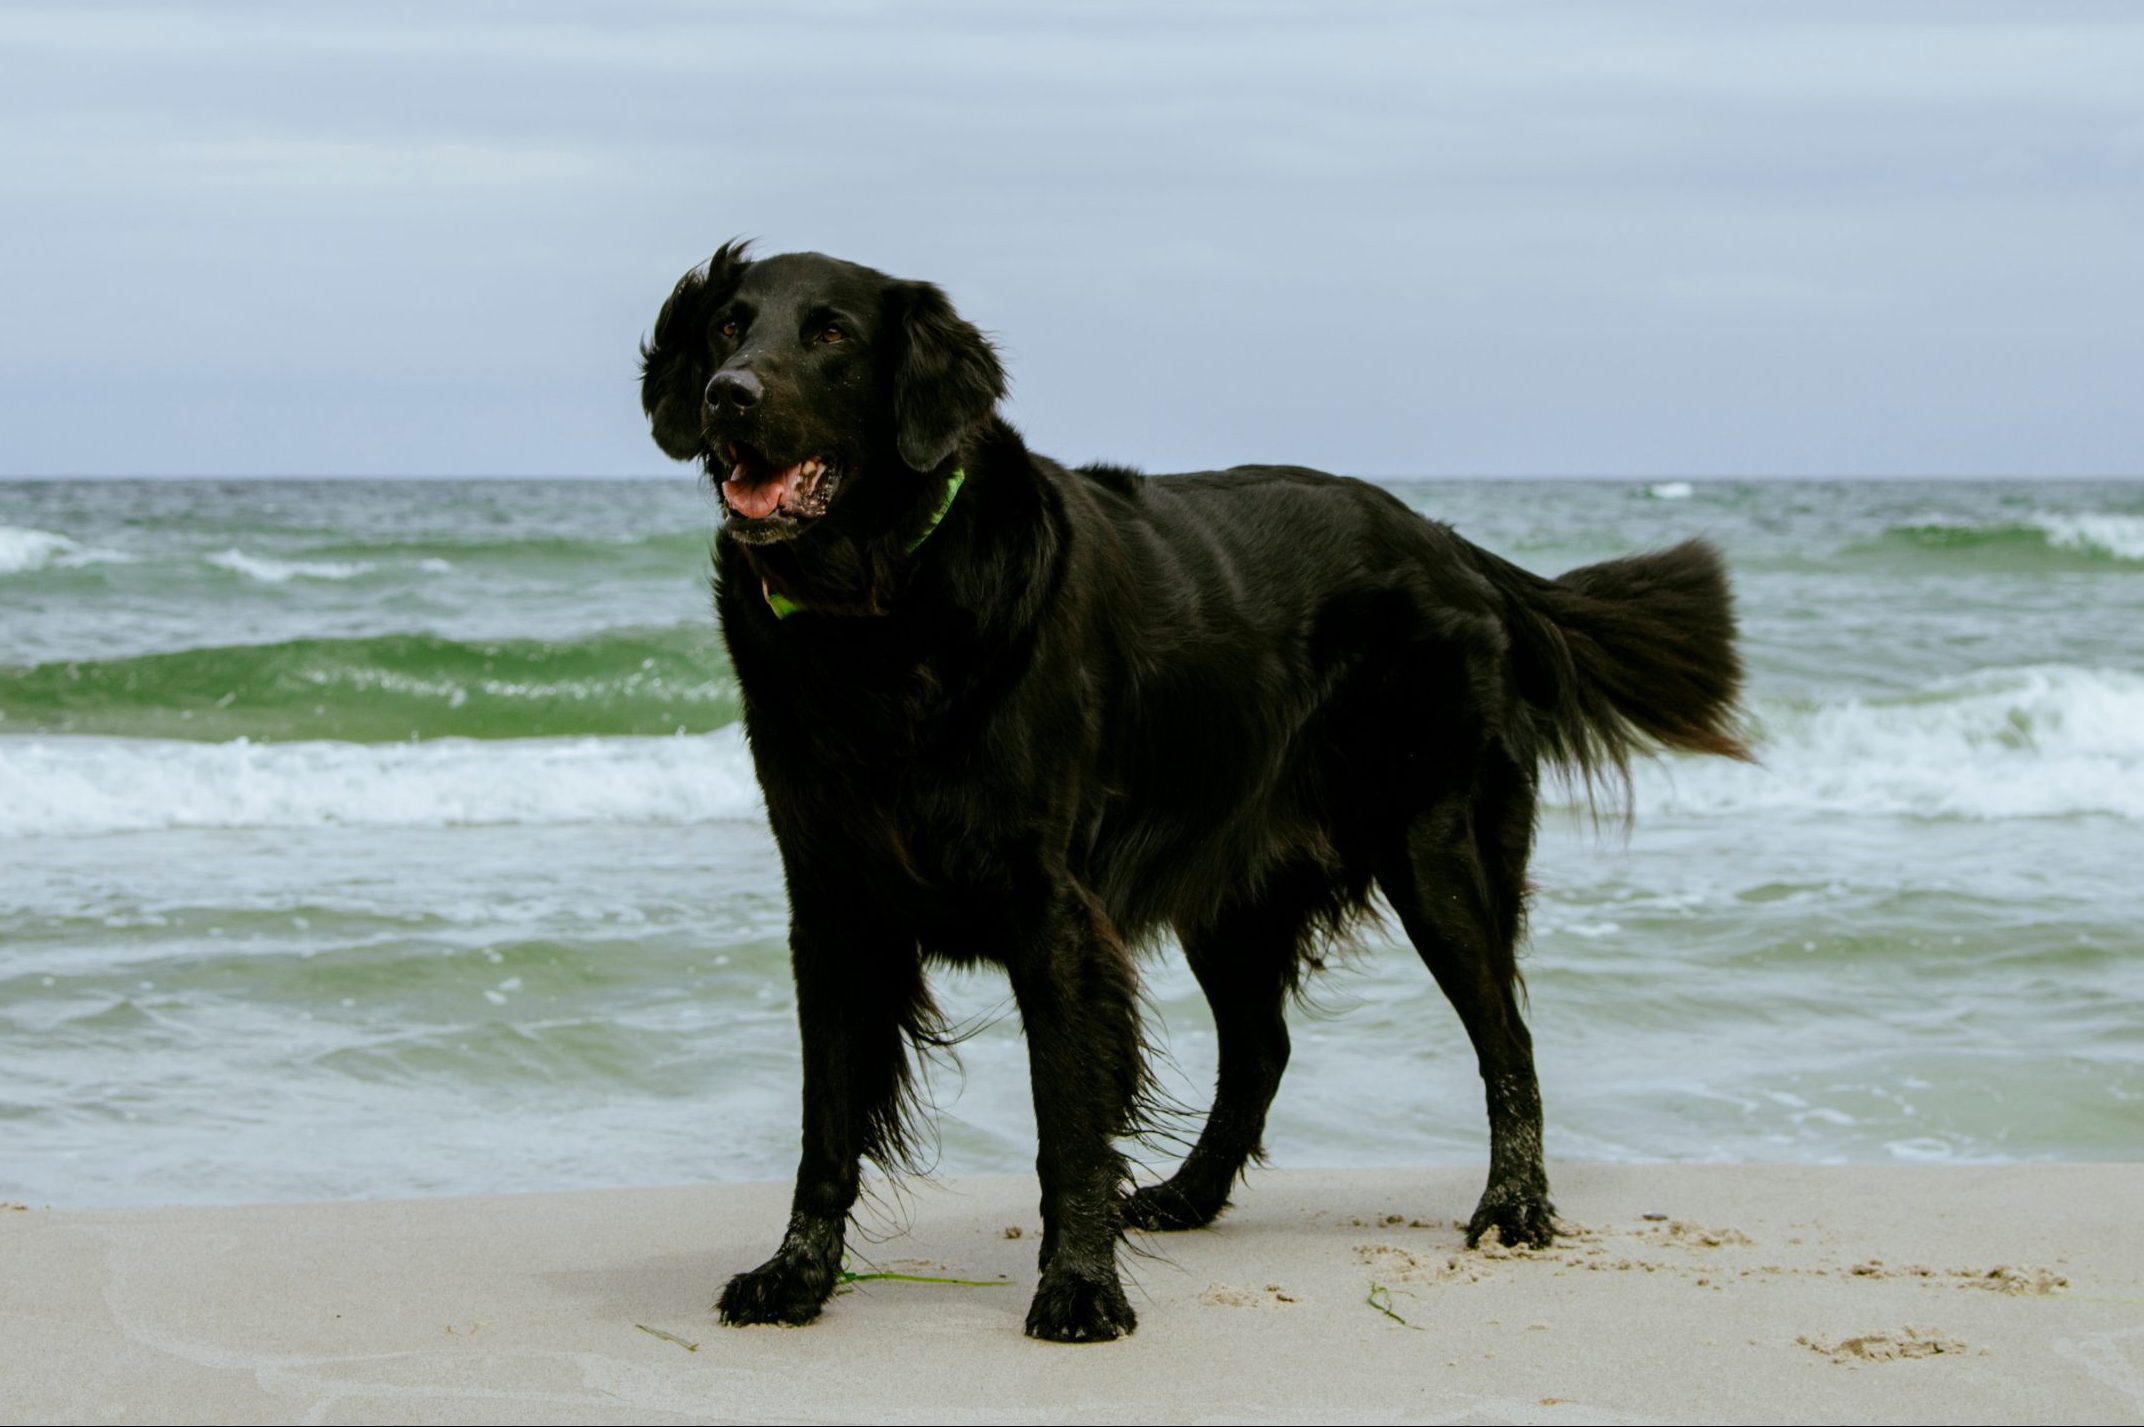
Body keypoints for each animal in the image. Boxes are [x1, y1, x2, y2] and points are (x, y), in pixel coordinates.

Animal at [630, 238, 1740, 1337]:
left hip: (1434, 846)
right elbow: (825, 1121)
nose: (727, 396)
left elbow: (1067, 1124)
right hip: (1234, 888)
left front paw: (1080, 1286)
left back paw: (1513, 1206)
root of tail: (1447, 540)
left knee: (1504, 1033)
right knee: (1261, 1049)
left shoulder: (1053, 911)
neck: (876, 613)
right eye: (728, 325)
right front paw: (795, 1273)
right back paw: (1189, 1194)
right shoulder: (831, 904)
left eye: (830, 334)